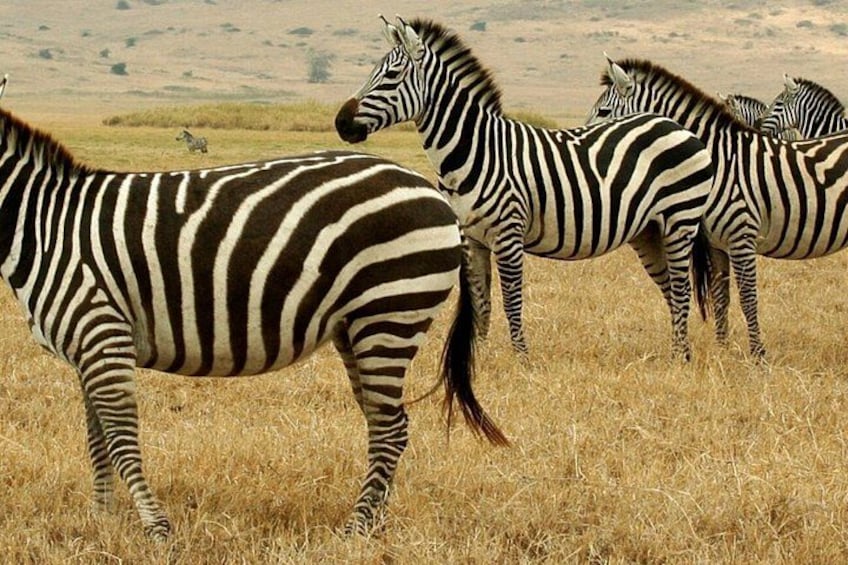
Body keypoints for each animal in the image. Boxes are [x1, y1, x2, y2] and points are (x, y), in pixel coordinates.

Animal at [0, 106, 507, 540]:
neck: (42, 224)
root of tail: (431, 193)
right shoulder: (88, 347)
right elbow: (98, 439)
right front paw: (101, 519)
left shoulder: (101, 333)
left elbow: (120, 439)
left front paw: (156, 529)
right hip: (357, 325)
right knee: (389, 424)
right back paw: (375, 522)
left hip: (389, 311)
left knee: (388, 428)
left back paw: (356, 529)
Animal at [335, 16, 715, 360]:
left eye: (391, 76)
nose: (341, 123)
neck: (477, 149)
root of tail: (673, 124)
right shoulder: (472, 240)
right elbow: (482, 302)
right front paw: (478, 359)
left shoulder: (508, 233)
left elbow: (511, 300)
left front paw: (522, 359)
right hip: (649, 232)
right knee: (671, 290)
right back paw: (677, 352)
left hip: (679, 221)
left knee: (681, 288)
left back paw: (679, 357)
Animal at [588, 56, 848, 359]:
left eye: (604, 111)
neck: (717, 161)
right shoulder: (716, 243)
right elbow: (722, 297)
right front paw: (722, 351)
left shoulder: (742, 235)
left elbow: (747, 298)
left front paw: (758, 355)